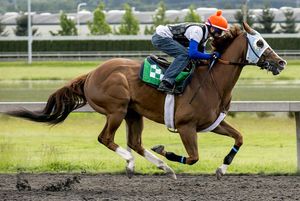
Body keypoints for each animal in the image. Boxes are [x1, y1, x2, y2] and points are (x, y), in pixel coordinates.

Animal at [8, 23, 286, 179]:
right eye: (260, 42)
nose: (281, 62)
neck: (213, 81)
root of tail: (90, 74)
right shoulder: (186, 126)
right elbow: (193, 157)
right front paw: (166, 151)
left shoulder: (212, 123)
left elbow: (239, 138)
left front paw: (221, 170)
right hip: (116, 109)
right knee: (106, 138)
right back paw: (134, 162)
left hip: (134, 113)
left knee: (135, 142)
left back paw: (163, 167)